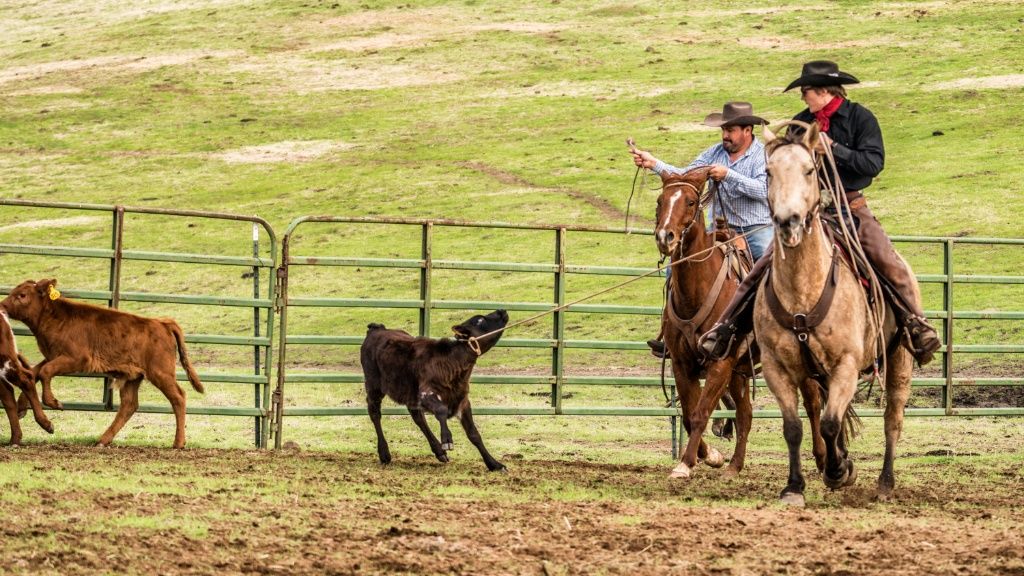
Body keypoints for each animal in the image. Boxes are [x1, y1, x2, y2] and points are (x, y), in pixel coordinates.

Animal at [362, 307, 509, 469]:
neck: (452, 364)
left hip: (409, 391)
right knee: (375, 413)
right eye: (479, 320)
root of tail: (377, 328)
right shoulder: (426, 393)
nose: (502, 310)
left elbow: (474, 434)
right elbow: (441, 410)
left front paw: (494, 464)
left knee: (417, 417)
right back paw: (384, 453)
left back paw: (439, 452)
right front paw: (447, 440)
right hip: (373, 385)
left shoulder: (462, 400)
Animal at [651, 166, 757, 475]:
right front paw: (710, 455)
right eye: (660, 201)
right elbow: (688, 413)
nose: (665, 236)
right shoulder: (681, 362)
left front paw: (685, 463)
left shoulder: (720, 363)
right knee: (745, 414)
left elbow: (701, 412)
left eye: (690, 202)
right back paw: (734, 466)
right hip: (740, 372)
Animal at [757, 121, 917, 502]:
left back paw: (885, 483)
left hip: (899, 360)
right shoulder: (775, 367)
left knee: (892, 419)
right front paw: (794, 486)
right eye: (768, 172)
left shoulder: (845, 363)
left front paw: (837, 472)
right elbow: (793, 427)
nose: (788, 222)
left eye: (809, 169)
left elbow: (831, 423)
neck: (803, 292)